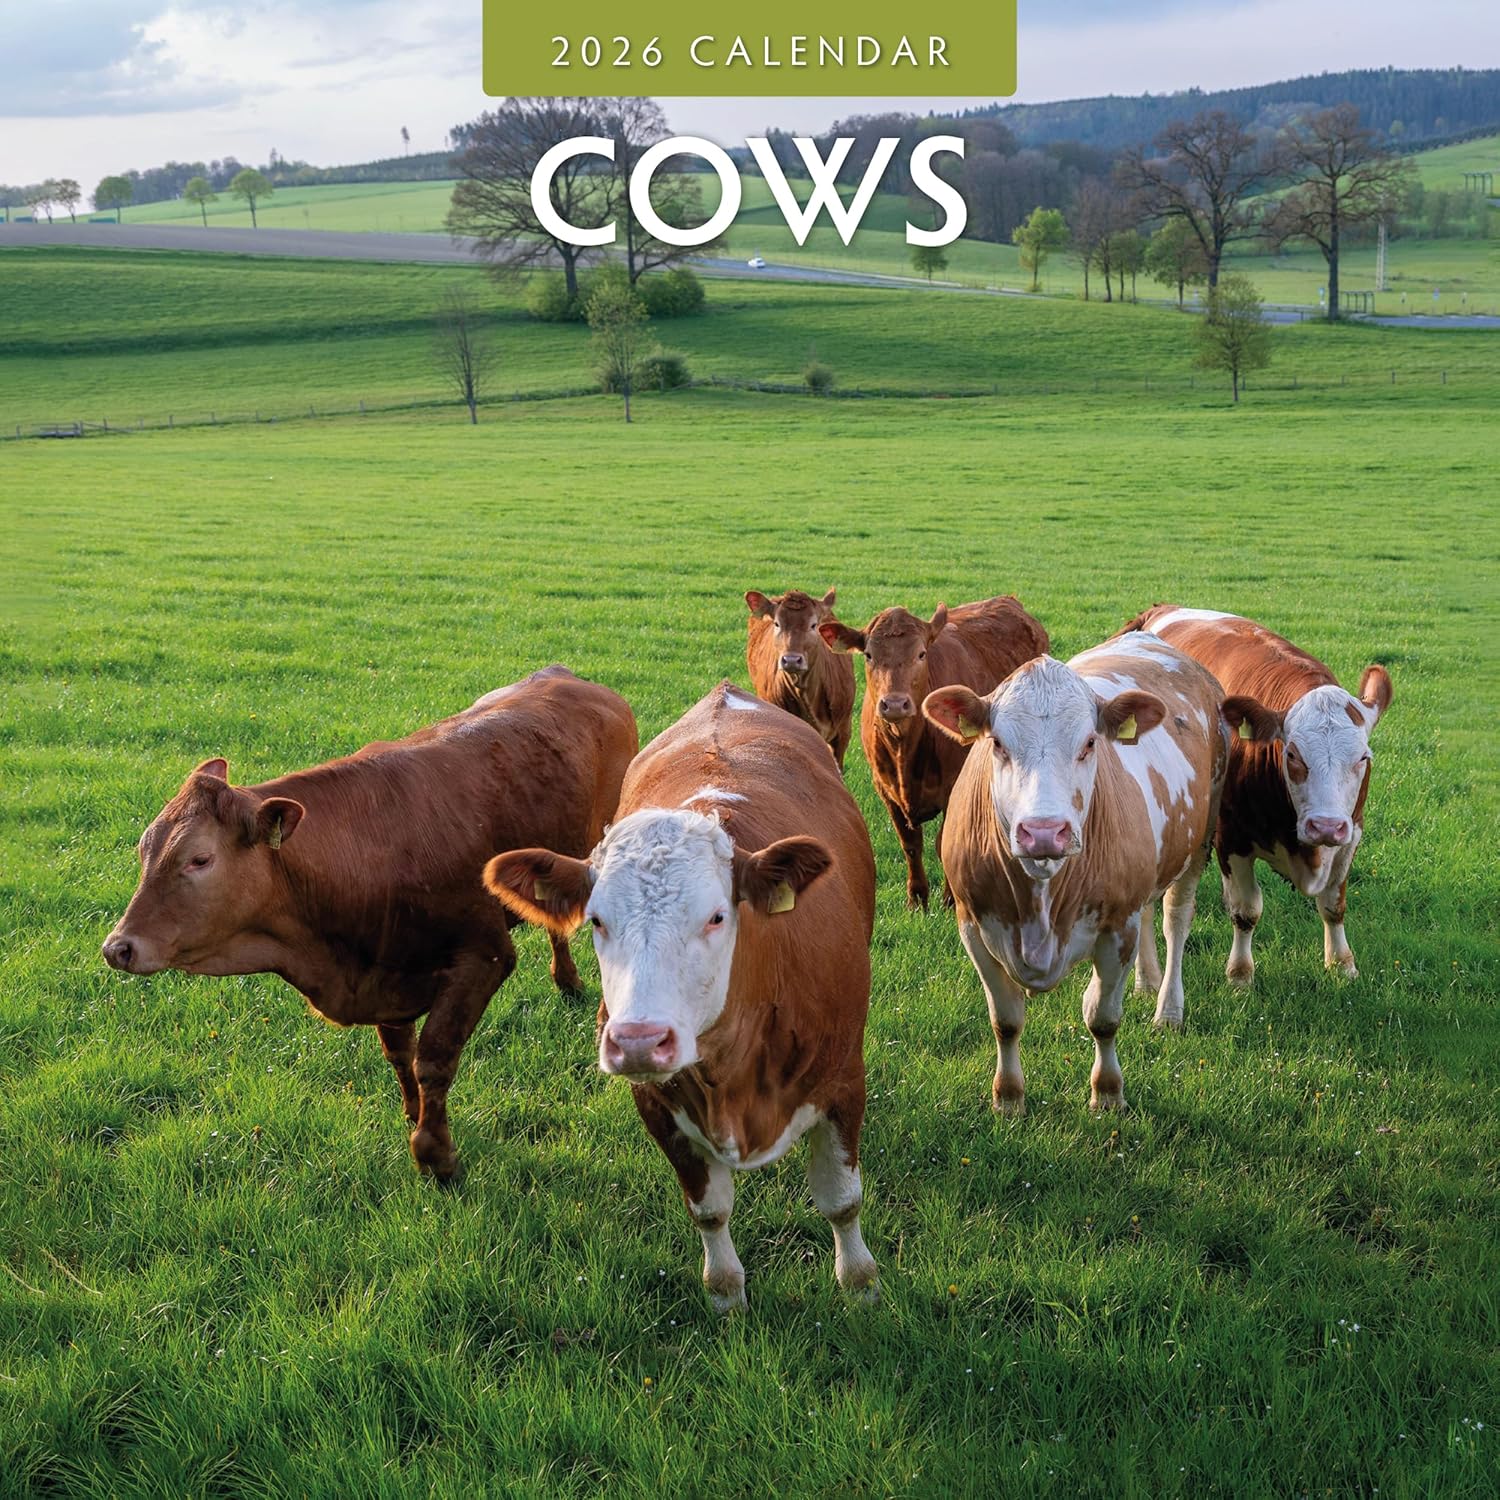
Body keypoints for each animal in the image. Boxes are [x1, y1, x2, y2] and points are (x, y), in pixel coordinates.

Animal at [102, 666, 638, 1180]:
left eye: (199, 859)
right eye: (144, 849)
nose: (118, 948)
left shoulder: (483, 957)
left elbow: (434, 1058)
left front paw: (435, 1154)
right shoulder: (384, 972)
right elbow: (401, 1054)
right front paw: (413, 1115)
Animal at [483, 681, 878, 1313]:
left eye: (716, 916)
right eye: (596, 920)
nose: (639, 1040)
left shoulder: (844, 1081)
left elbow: (841, 1198)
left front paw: (861, 1285)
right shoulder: (657, 1105)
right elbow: (709, 1210)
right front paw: (726, 1295)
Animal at [819, 596, 1049, 909]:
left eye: (921, 654)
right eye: (868, 655)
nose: (894, 704)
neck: (905, 749)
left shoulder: (953, 786)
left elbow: (943, 842)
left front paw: (949, 899)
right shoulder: (884, 789)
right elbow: (910, 844)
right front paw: (917, 899)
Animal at [924, 632, 1229, 1115]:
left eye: (1088, 743)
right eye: (998, 744)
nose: (1043, 831)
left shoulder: (1116, 928)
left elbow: (1102, 1018)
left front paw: (1107, 1092)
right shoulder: (973, 925)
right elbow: (1005, 1021)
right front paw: (1008, 1097)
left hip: (1200, 840)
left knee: (1174, 920)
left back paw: (1168, 1008)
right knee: (1149, 913)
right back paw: (1146, 983)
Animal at [1122, 605, 1393, 985]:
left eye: (1363, 758)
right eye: (1292, 754)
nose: (1325, 826)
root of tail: (1161, 609)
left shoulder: (1351, 833)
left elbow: (1333, 905)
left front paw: (1341, 963)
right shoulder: (1232, 838)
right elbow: (1247, 910)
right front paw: (1240, 973)